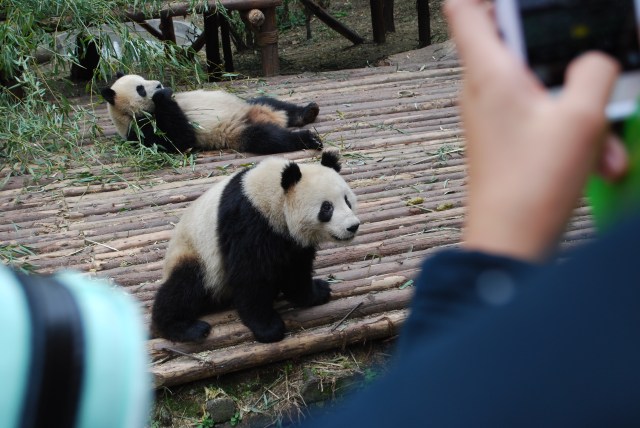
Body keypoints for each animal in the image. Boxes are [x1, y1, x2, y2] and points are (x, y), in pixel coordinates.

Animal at [100, 73, 323, 154]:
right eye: (140, 89)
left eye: (143, 79)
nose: (159, 84)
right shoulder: (141, 129)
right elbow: (181, 139)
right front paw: (163, 95)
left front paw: (166, 92)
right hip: (237, 131)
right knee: (269, 138)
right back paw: (308, 138)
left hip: (249, 104)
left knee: (273, 103)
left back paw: (307, 112)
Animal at [151, 151, 360, 343]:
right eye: (327, 207)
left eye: (347, 200)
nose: (352, 226)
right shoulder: (248, 221)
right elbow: (250, 274)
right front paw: (268, 328)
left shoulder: (289, 240)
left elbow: (296, 269)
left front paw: (316, 292)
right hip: (195, 254)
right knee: (185, 286)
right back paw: (185, 327)